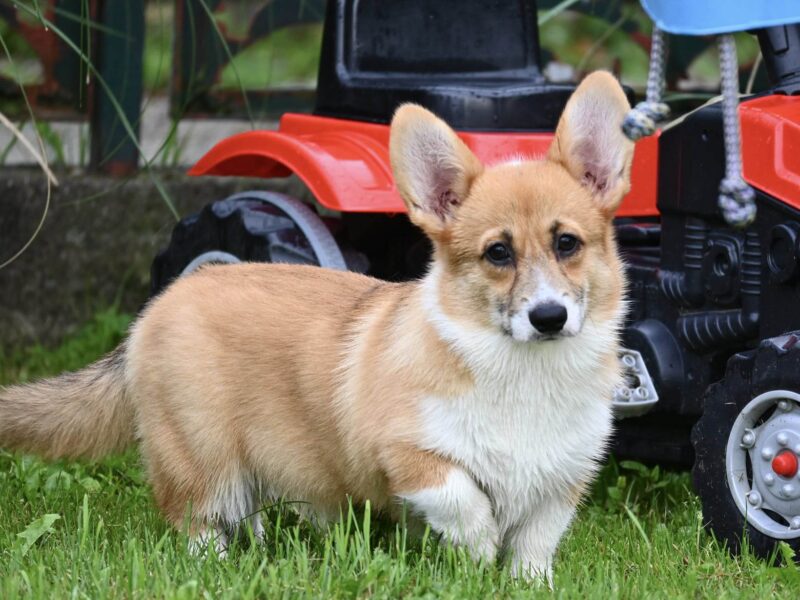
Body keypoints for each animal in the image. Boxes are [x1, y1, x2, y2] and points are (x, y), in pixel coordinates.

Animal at [3, 71, 636, 580]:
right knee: (199, 521)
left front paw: (527, 583)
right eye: (497, 253)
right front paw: (476, 553)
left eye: (567, 243)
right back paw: (217, 569)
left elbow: (534, 546)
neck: (525, 374)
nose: (548, 317)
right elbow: (464, 499)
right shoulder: (408, 455)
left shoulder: (561, 482)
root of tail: (158, 306)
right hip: (200, 453)